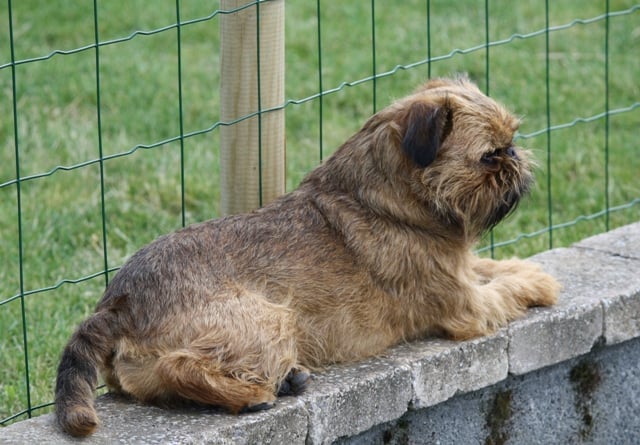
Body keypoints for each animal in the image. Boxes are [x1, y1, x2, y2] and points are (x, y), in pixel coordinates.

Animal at [56, 75, 560, 434]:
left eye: (510, 142)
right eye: (490, 157)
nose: (516, 156)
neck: (388, 198)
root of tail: (116, 304)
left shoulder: (461, 268)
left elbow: (490, 265)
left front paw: (524, 265)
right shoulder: (468, 306)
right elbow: (505, 288)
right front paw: (537, 282)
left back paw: (280, 380)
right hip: (270, 318)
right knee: (180, 366)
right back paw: (250, 395)